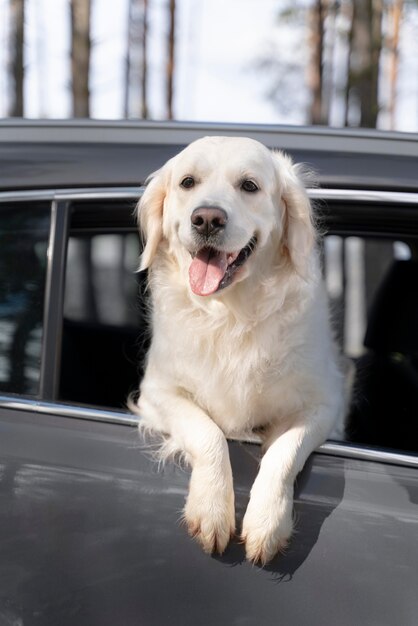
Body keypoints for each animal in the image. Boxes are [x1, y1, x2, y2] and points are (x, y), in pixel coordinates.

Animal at [131, 135, 346, 560]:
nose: (207, 219)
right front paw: (211, 508)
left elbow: (285, 450)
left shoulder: (324, 402)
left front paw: (267, 521)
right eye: (188, 182)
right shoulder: (157, 392)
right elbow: (208, 432)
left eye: (249, 186)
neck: (231, 316)